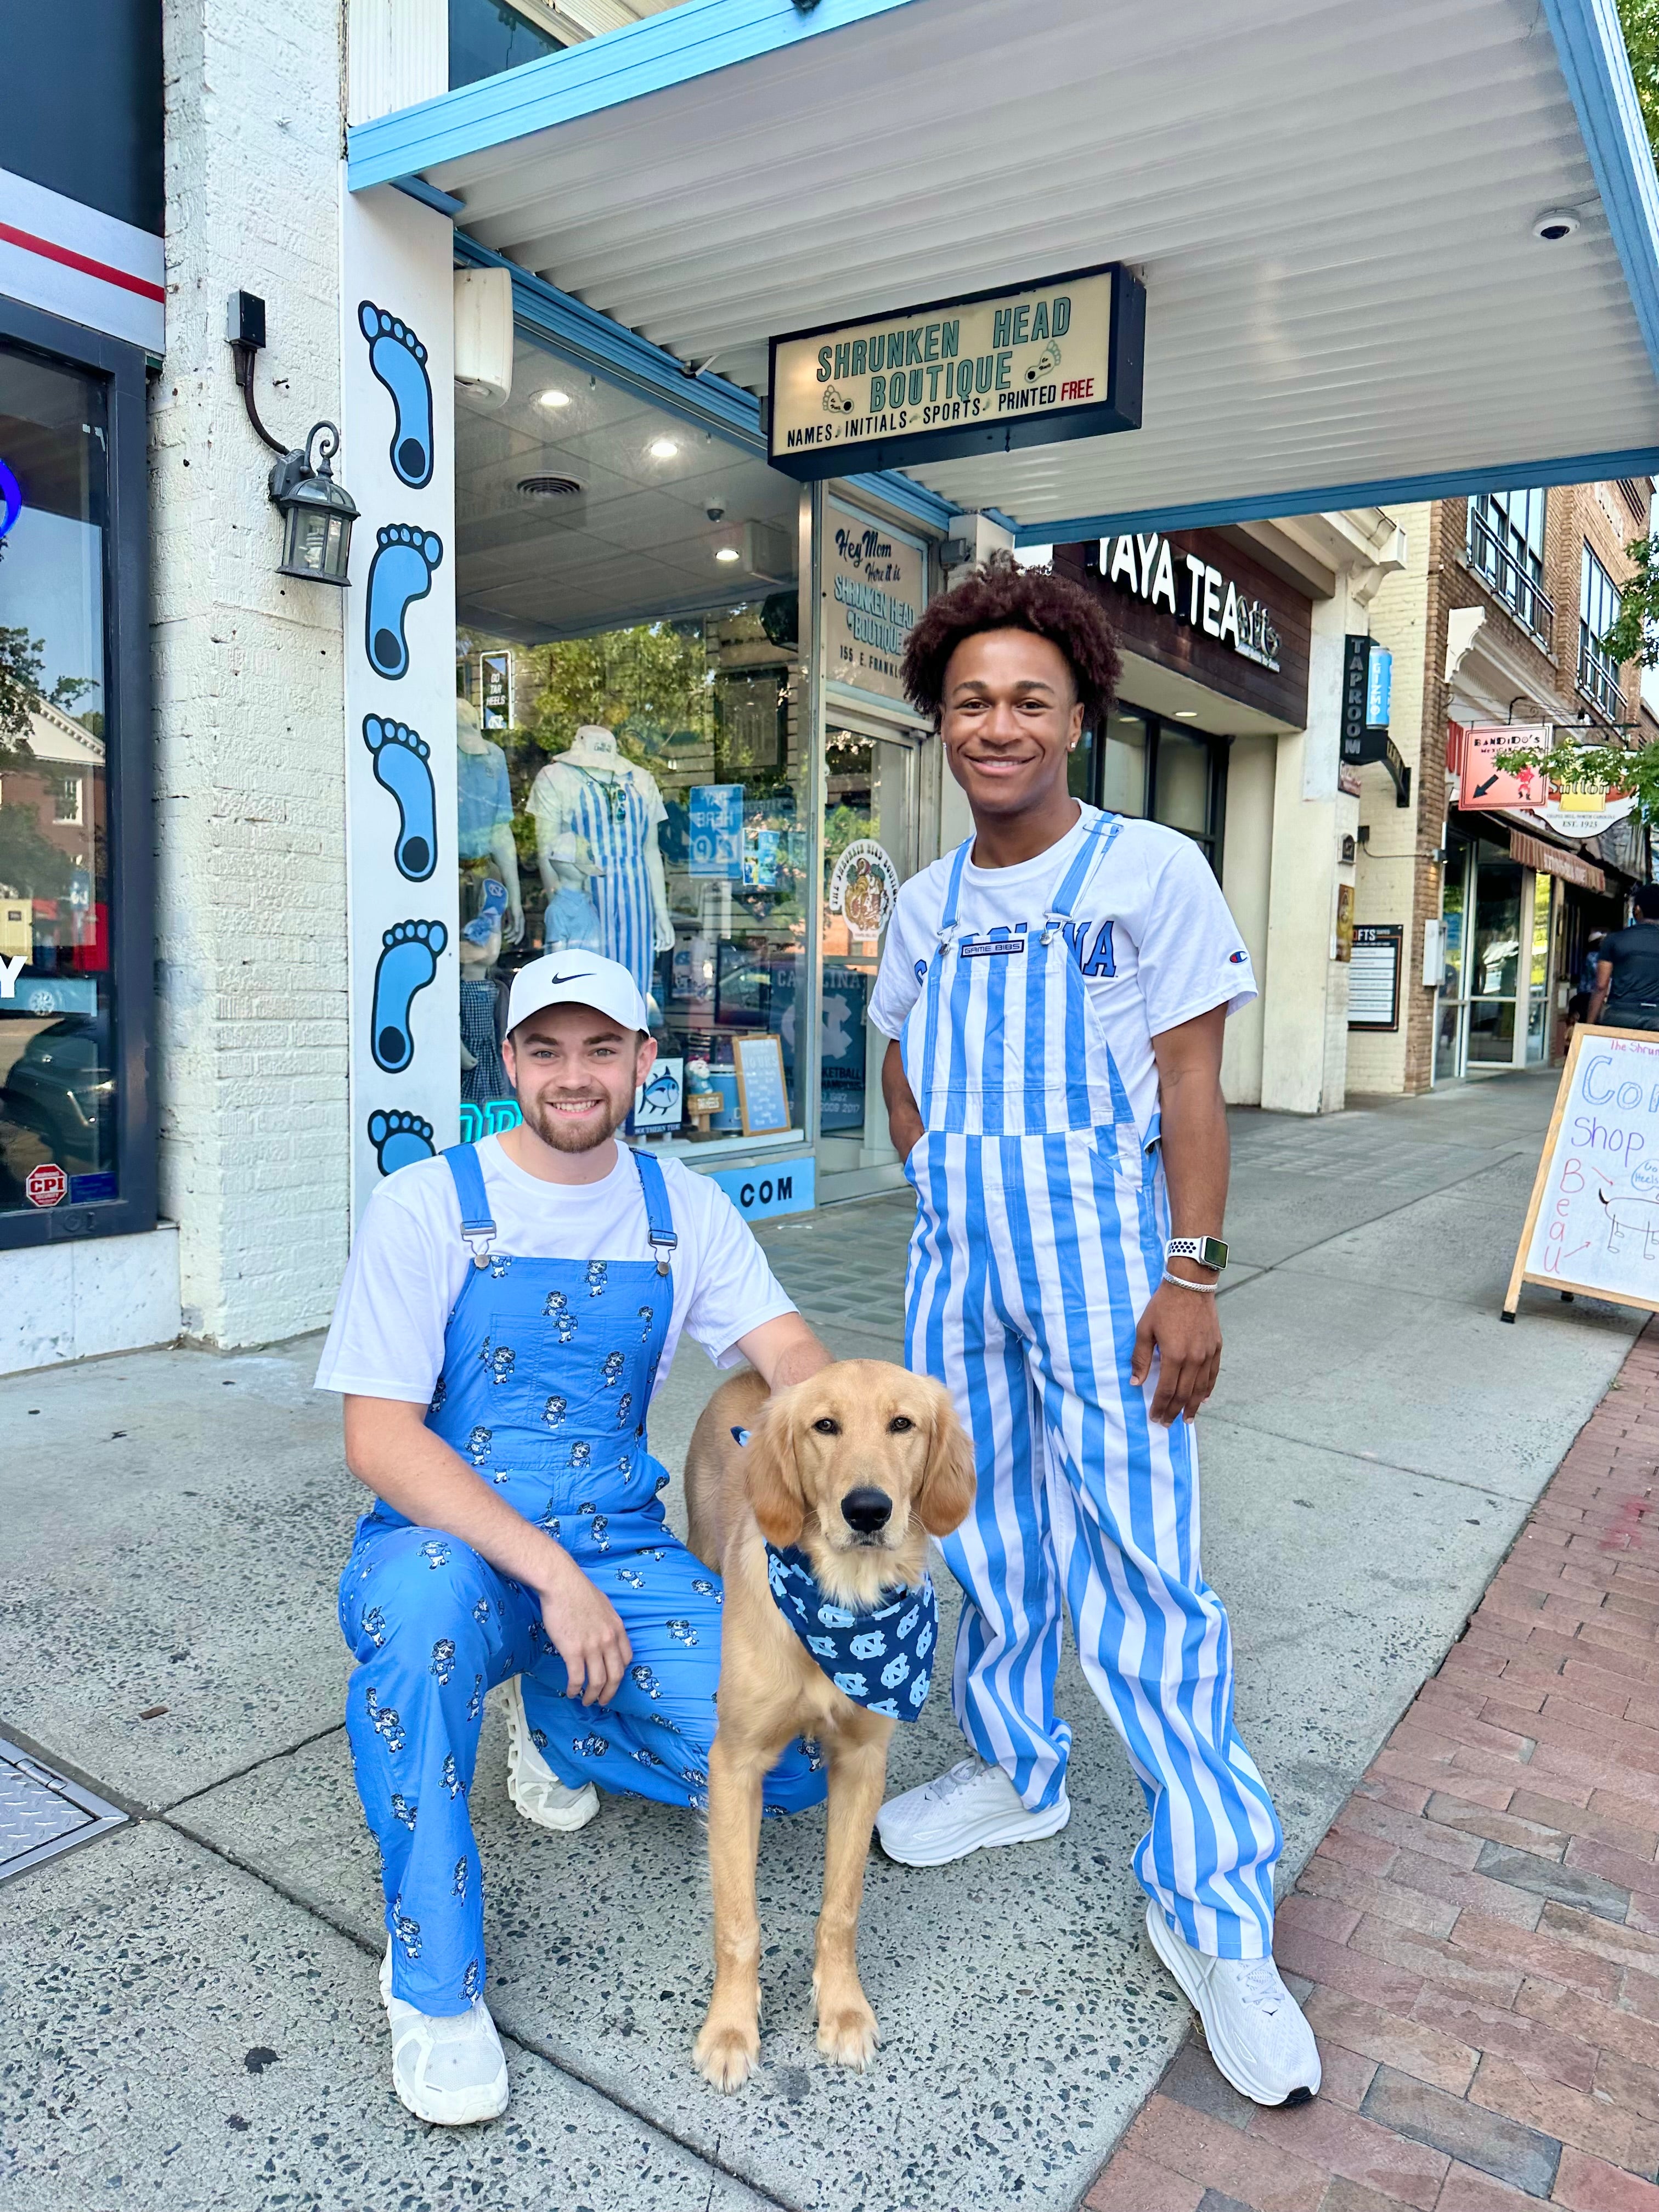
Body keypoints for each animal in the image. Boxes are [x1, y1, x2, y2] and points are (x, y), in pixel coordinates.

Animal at [685, 1353, 982, 2097]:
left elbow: (841, 1907)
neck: (843, 1600)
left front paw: (843, 2010)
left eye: (902, 1424)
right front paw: (730, 2029)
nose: (868, 1509)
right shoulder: (734, 1764)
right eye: (826, 1426)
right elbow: (738, 1920)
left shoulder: (863, 1763)